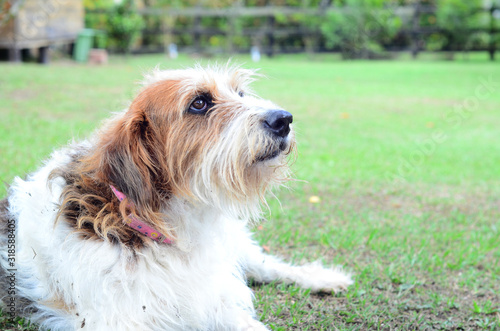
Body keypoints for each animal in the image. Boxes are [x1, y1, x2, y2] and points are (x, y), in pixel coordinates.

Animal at [0, 65, 354, 331]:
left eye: (240, 93)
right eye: (199, 103)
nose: (284, 119)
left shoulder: (216, 299)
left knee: (267, 265)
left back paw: (321, 277)